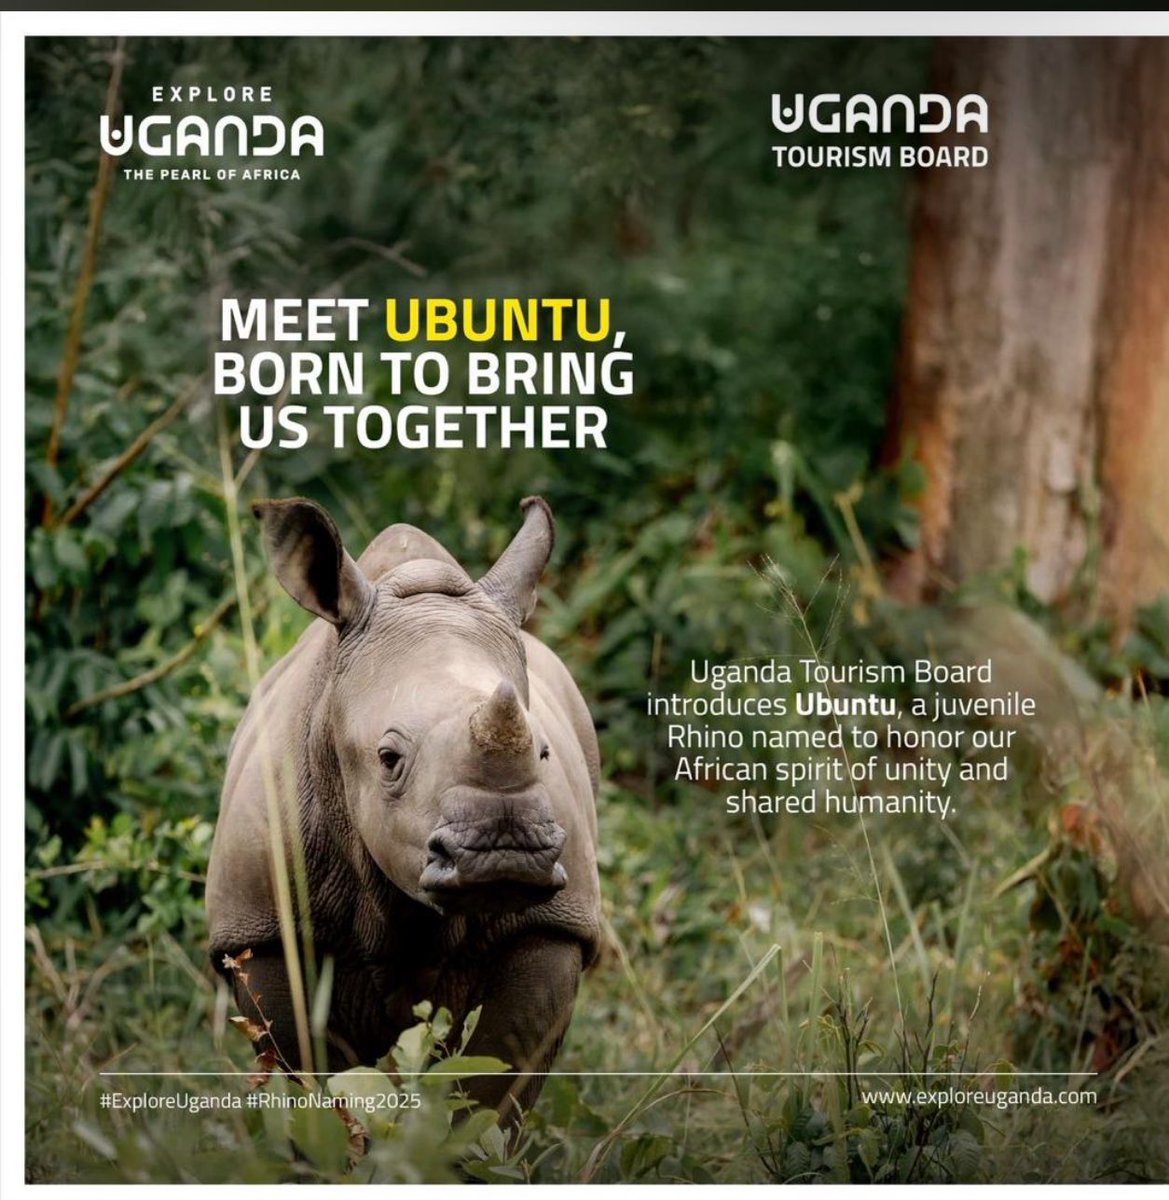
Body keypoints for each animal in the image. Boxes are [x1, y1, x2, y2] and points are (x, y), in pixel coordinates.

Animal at [206, 496, 600, 1121]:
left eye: (543, 751)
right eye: (388, 758)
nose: (504, 852)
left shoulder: (555, 925)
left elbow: (495, 1081)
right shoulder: (260, 926)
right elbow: (314, 1075)